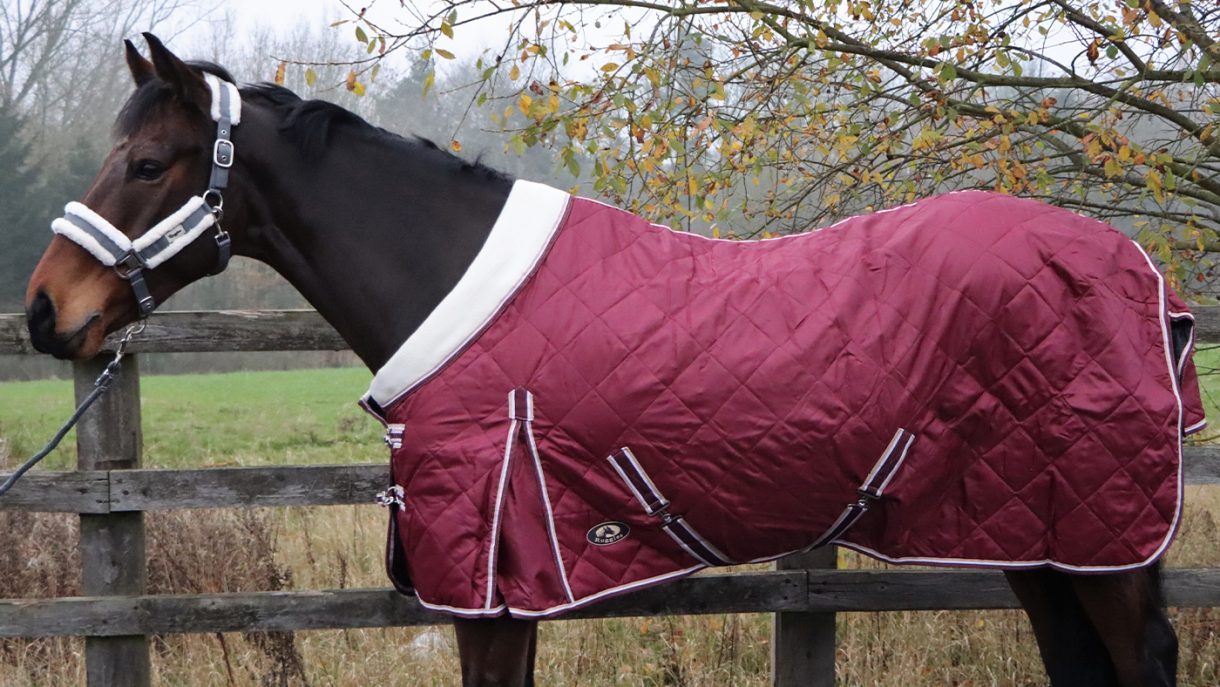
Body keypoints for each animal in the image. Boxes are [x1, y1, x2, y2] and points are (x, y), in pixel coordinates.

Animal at [24, 35, 1200, 687]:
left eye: (147, 162)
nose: (44, 313)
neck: (449, 281)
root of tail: (1137, 271)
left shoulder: (493, 586)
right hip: (1034, 532)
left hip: (1098, 537)